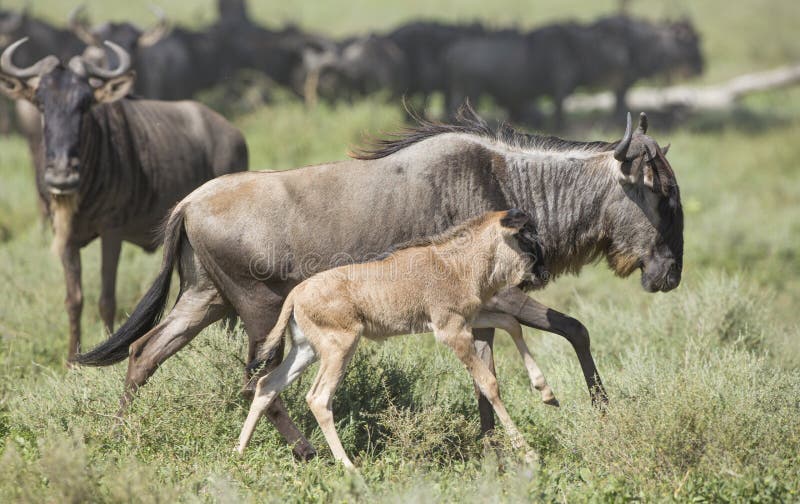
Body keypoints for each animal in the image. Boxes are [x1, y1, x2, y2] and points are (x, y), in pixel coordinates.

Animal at [0, 38, 248, 361]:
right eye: (41, 102)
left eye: (85, 104)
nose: (61, 176)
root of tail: (235, 135)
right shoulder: (64, 235)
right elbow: (74, 299)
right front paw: (71, 360)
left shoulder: (112, 232)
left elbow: (107, 299)